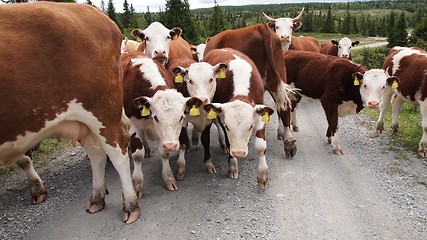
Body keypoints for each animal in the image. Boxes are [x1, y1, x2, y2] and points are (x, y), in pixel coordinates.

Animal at [0, 1, 140, 224]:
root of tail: (92, 10)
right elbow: (23, 158)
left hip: (102, 112)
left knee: (117, 151)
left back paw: (130, 204)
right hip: (84, 120)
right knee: (97, 153)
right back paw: (97, 198)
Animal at [122, 51, 206, 191]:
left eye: (181, 117)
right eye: (156, 117)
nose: (171, 146)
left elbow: (164, 154)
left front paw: (169, 178)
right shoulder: (133, 124)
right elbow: (137, 156)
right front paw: (138, 184)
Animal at [201, 48, 274, 188]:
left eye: (251, 126)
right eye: (227, 127)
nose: (239, 152)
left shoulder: (260, 116)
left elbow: (261, 147)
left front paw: (263, 176)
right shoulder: (223, 118)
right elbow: (230, 142)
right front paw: (233, 166)